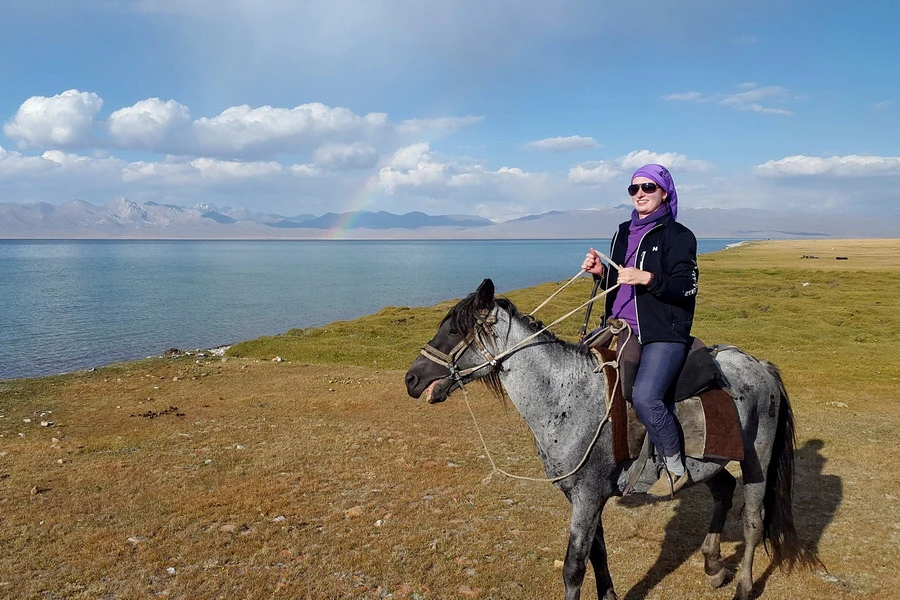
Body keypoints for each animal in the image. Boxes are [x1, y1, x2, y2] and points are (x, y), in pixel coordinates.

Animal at [404, 279, 815, 600]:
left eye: (455, 331)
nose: (411, 379)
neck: (565, 395)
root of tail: (760, 366)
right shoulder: (585, 496)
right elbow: (597, 554)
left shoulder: (588, 495)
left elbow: (573, 567)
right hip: (709, 462)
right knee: (724, 492)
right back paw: (713, 566)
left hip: (756, 458)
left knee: (753, 521)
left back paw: (743, 588)